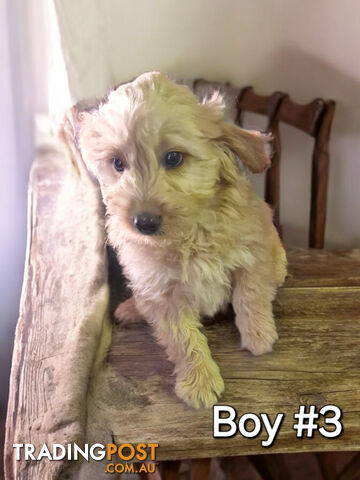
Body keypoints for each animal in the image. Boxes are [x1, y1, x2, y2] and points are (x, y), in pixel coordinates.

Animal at [78, 72, 286, 408]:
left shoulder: (253, 253)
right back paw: (132, 309)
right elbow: (182, 339)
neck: (189, 234)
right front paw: (199, 381)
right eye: (118, 164)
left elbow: (250, 295)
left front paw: (259, 335)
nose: (143, 223)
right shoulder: (161, 292)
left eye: (174, 158)